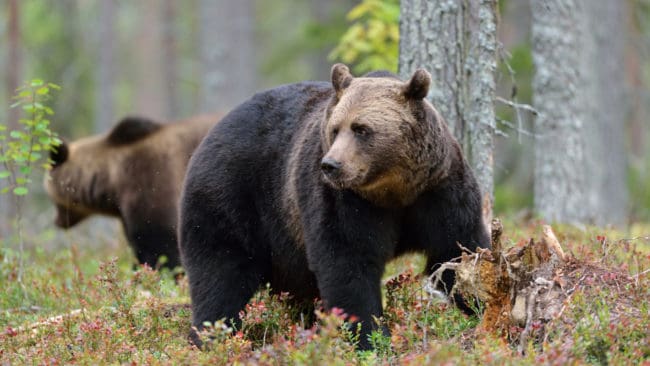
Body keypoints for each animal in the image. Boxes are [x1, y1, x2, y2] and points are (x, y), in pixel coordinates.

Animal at [177, 63, 486, 348]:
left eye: (361, 129)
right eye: (336, 129)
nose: (331, 165)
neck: (392, 190)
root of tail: (214, 129)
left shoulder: (438, 190)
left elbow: (457, 249)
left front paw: (480, 301)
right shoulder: (343, 201)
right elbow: (347, 261)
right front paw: (370, 337)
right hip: (230, 195)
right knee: (221, 273)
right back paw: (211, 337)